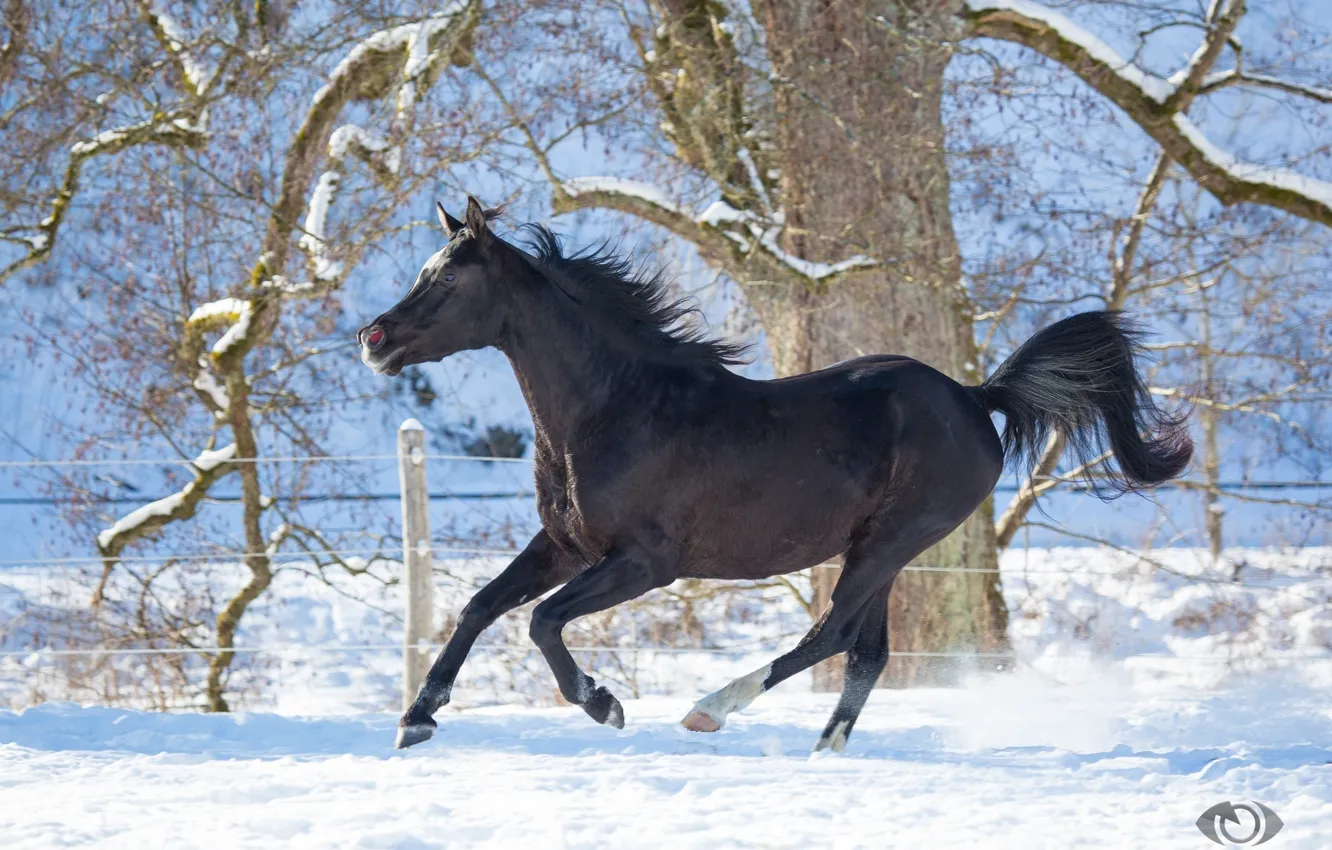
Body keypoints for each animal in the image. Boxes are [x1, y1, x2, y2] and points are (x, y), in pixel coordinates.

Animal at [359, 198, 1193, 751]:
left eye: (449, 281)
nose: (374, 339)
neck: (615, 409)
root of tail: (975, 396)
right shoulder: (564, 545)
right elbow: (479, 606)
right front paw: (416, 719)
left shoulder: (645, 563)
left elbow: (539, 621)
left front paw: (603, 704)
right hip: (880, 550)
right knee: (865, 654)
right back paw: (824, 749)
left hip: (890, 542)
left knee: (831, 636)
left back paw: (711, 708)